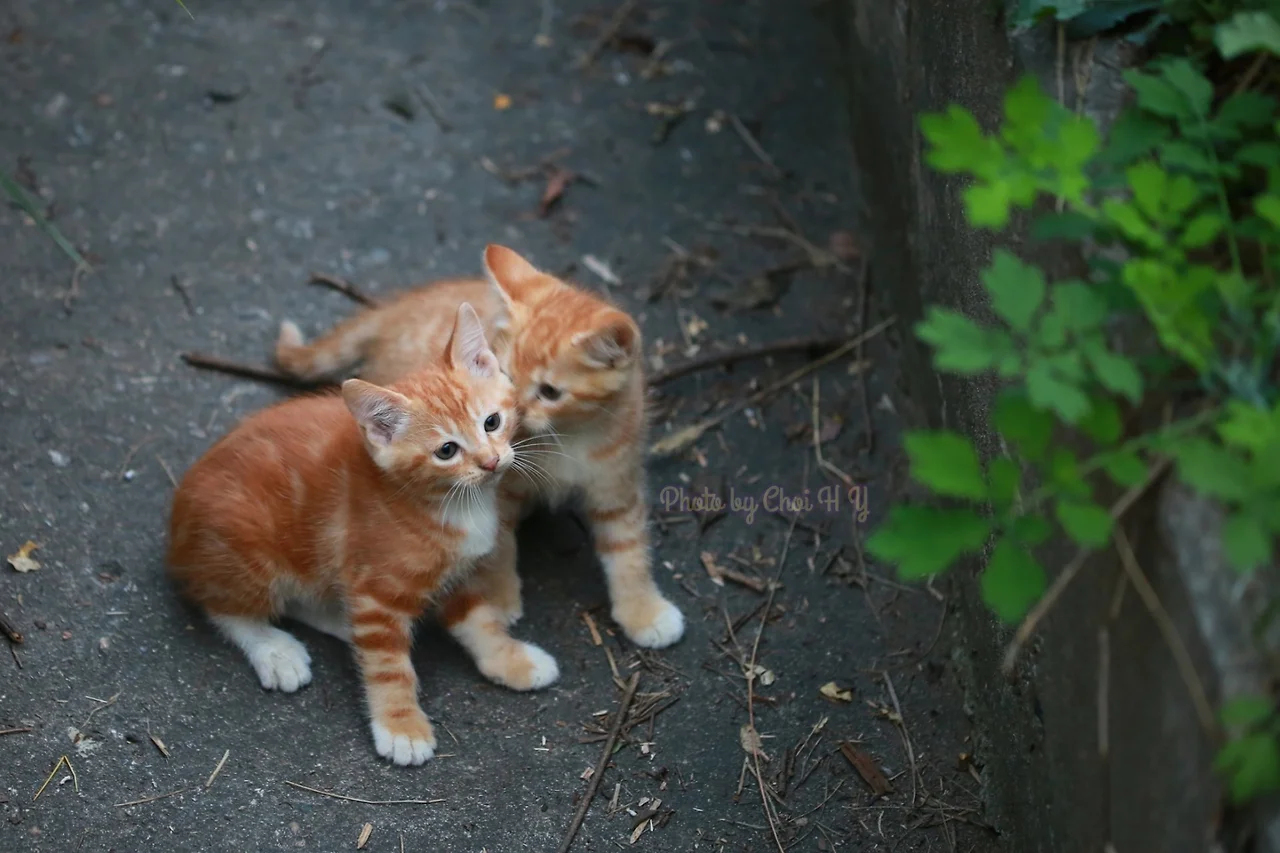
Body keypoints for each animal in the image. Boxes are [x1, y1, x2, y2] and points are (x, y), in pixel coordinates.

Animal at [167, 303, 556, 766]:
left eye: (492, 422)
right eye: (447, 451)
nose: (491, 461)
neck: (454, 503)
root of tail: (176, 527)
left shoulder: (454, 575)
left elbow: (479, 620)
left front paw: (511, 659)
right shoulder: (376, 593)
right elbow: (389, 667)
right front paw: (401, 727)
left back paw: (338, 619)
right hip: (249, 549)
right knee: (223, 604)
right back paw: (274, 649)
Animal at [273, 245, 685, 683]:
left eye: (550, 392)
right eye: (505, 373)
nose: (515, 413)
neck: (570, 439)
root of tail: (398, 307)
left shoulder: (616, 484)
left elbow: (628, 549)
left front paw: (643, 610)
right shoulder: (497, 490)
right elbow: (499, 545)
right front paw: (498, 599)